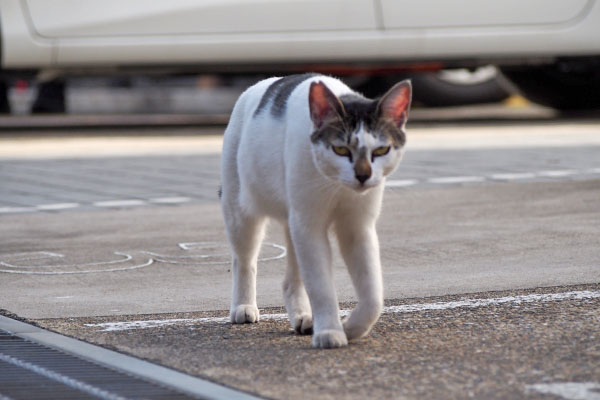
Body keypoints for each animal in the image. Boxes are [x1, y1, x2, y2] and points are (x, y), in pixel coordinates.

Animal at [220, 74, 412, 346]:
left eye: (381, 150)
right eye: (340, 149)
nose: (363, 175)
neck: (337, 186)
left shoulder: (357, 227)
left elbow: (373, 296)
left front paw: (351, 328)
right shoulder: (309, 226)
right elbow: (321, 286)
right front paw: (330, 332)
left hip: (292, 221)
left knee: (291, 280)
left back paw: (303, 317)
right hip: (240, 211)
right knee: (244, 260)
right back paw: (243, 307)